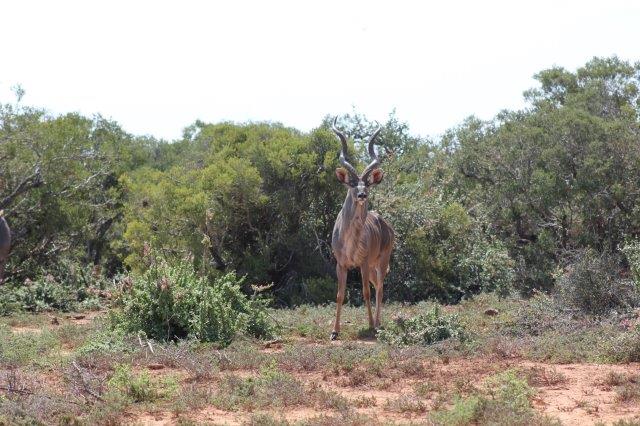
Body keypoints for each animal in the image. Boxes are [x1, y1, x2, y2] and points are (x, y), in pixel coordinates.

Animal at [332, 118, 392, 342]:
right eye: (351, 183)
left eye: (367, 183)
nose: (361, 194)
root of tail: (387, 226)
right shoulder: (341, 264)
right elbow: (340, 295)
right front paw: (335, 331)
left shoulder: (363, 263)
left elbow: (365, 293)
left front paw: (371, 326)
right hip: (374, 266)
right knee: (377, 286)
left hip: (381, 262)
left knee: (380, 289)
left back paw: (378, 323)